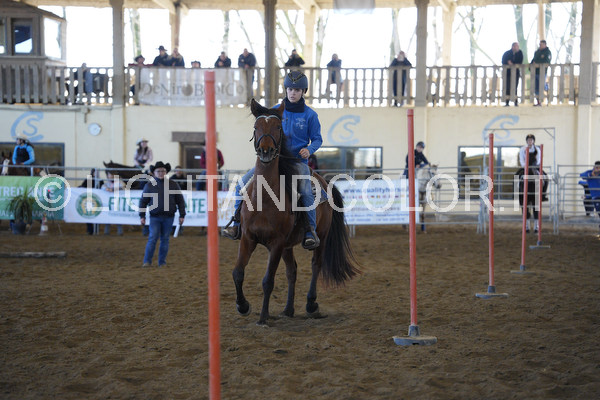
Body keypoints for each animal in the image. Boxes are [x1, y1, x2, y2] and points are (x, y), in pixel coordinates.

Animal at [231, 99, 360, 326]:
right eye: (256, 127)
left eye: (277, 127)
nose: (266, 151)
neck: (265, 197)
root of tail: (325, 183)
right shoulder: (248, 238)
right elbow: (238, 272)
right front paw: (243, 306)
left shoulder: (276, 243)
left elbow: (268, 281)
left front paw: (263, 317)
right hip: (288, 245)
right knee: (292, 271)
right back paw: (288, 309)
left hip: (320, 236)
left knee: (316, 265)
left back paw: (311, 304)